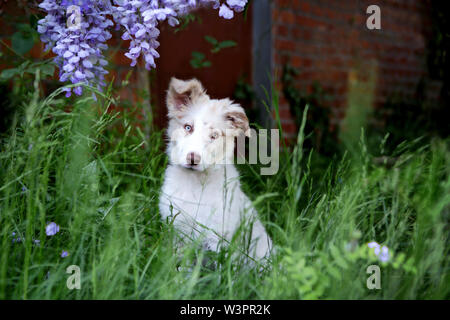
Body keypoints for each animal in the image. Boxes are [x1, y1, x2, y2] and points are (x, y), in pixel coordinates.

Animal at [160, 77, 272, 262]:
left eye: (214, 136)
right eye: (188, 127)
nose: (193, 159)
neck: (196, 183)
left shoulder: (218, 237)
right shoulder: (178, 232)